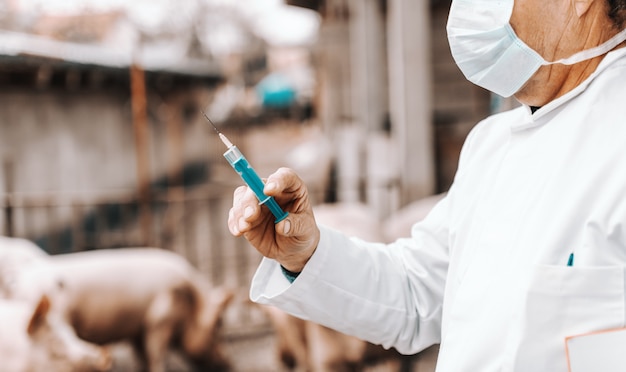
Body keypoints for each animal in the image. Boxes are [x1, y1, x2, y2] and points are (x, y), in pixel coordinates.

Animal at [47, 247, 234, 372]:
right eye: (218, 324)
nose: (228, 363)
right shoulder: (159, 321)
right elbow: (156, 355)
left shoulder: (138, 329)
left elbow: (142, 356)